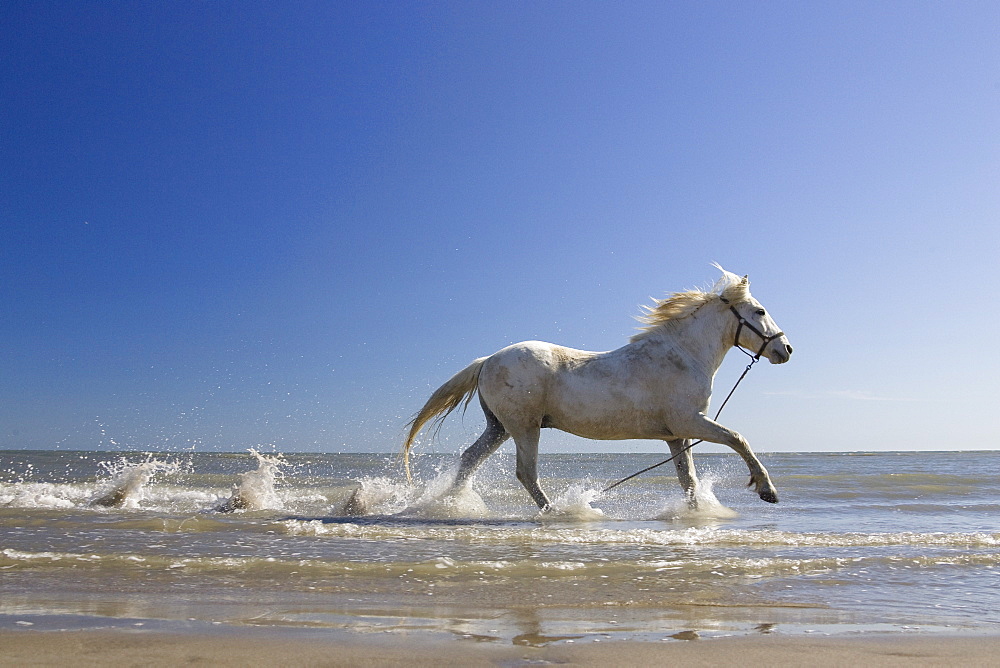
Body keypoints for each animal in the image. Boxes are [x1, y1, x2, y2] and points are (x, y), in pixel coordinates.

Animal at [402, 266, 792, 512]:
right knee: (525, 472)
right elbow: (738, 439)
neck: (682, 354)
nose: (785, 349)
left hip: (499, 427)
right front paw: (767, 490)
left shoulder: (676, 436)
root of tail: (488, 360)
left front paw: (696, 514)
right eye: (760, 311)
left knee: (470, 459)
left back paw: (451, 505)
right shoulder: (690, 422)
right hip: (524, 427)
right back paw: (559, 513)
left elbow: (689, 481)